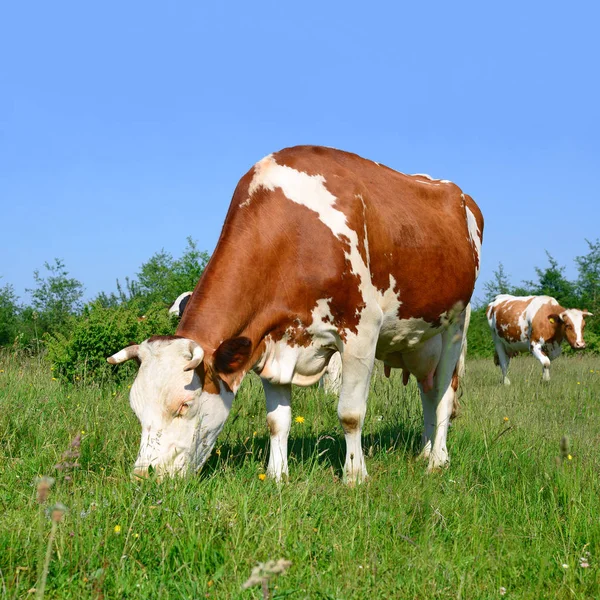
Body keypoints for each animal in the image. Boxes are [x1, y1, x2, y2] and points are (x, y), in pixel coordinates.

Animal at [108, 145, 482, 482]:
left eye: (184, 405)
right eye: (136, 409)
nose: (144, 477)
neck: (294, 233)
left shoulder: (361, 331)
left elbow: (350, 413)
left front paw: (354, 477)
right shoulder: (269, 339)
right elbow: (277, 421)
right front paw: (277, 476)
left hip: (455, 326)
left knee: (444, 395)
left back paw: (438, 461)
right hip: (419, 342)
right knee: (428, 392)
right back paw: (424, 452)